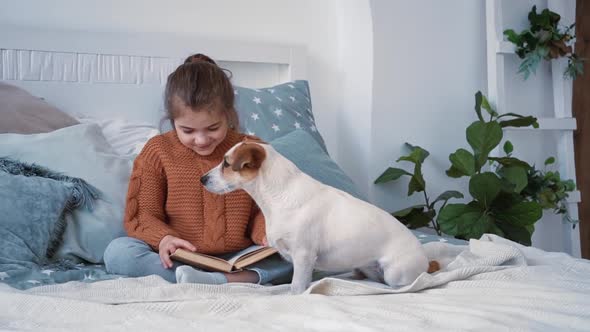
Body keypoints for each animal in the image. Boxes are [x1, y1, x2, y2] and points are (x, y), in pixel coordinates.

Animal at [204, 139, 440, 294]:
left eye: (226, 163)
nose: (202, 179)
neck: (278, 196)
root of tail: (425, 261)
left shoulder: (303, 256)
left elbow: (296, 287)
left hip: (396, 273)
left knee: (414, 282)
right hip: (367, 267)